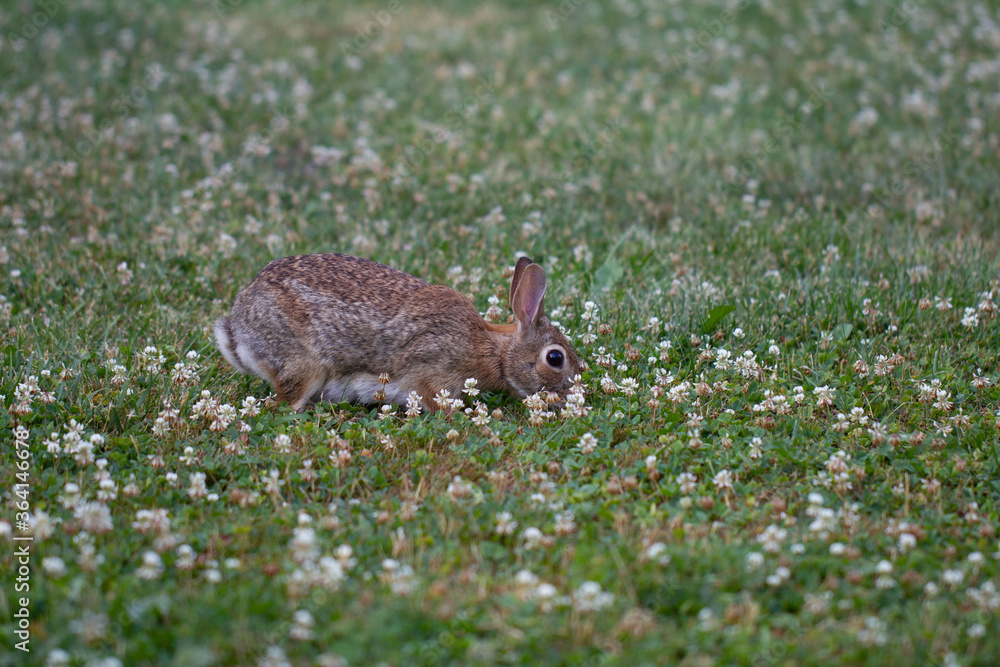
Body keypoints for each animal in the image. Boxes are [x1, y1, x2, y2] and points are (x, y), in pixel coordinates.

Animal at [214, 253, 582, 412]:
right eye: (555, 358)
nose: (574, 392)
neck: (493, 351)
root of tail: (238, 329)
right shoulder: (431, 375)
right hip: (303, 367)